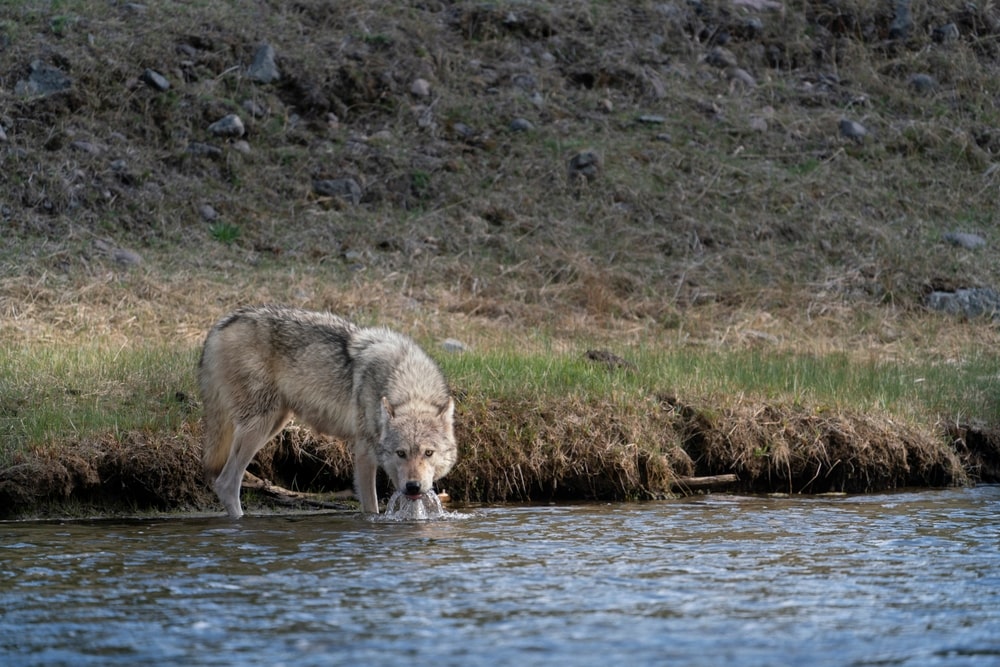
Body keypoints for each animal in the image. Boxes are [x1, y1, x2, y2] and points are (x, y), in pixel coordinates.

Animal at [197, 306, 456, 520]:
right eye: (401, 453)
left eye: (428, 453)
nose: (413, 486)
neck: (410, 387)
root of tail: (220, 325)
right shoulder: (364, 452)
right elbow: (371, 508)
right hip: (259, 427)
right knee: (225, 483)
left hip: (274, 423)